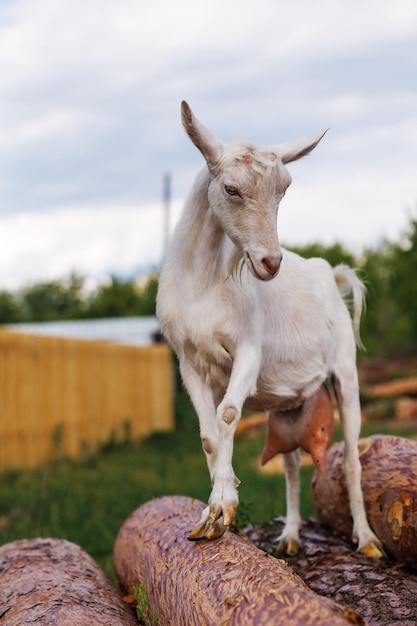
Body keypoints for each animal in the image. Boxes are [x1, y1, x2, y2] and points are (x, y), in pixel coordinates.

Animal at [157, 101, 384, 556]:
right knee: (292, 462)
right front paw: (211, 519)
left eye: (283, 190)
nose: (270, 263)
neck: (202, 284)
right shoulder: (188, 361)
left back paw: (367, 539)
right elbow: (208, 436)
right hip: (289, 404)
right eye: (230, 189)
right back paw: (291, 536)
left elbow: (228, 415)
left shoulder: (248, 348)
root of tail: (331, 275)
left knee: (352, 455)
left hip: (345, 370)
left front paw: (222, 505)